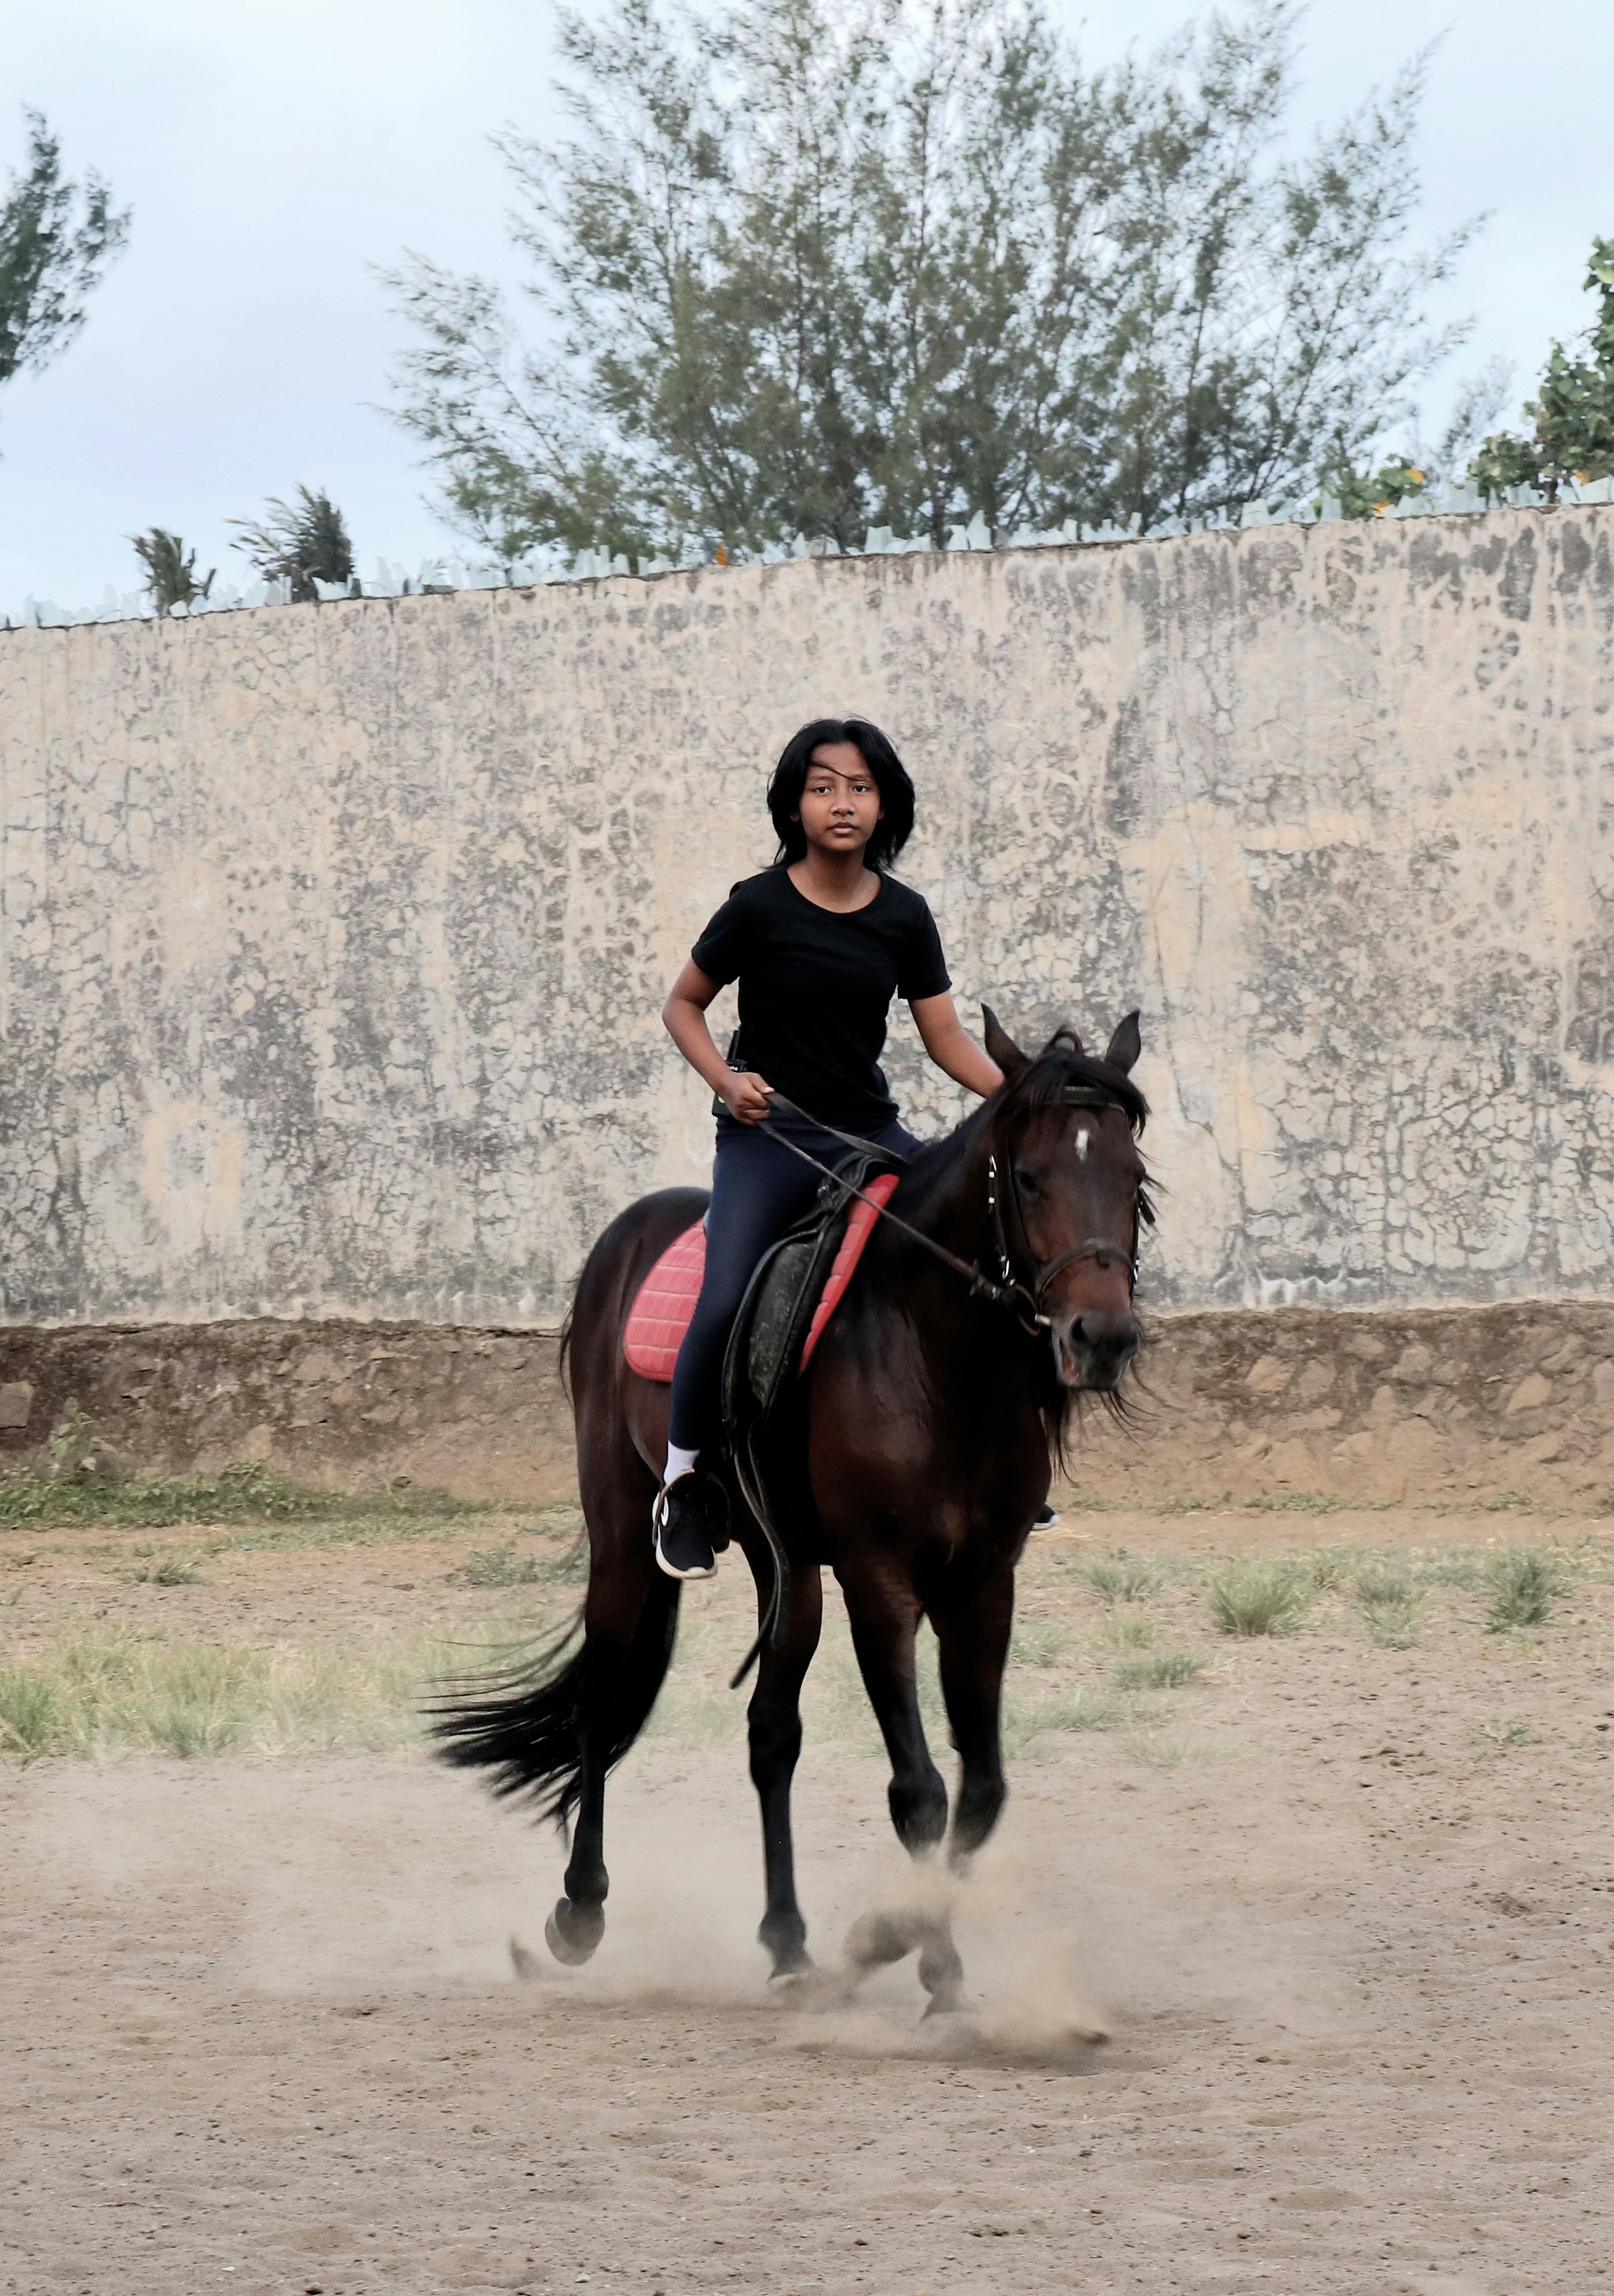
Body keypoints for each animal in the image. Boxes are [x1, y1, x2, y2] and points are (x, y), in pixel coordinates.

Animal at [433, 1008, 1153, 2015]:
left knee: (771, 1734)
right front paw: (924, 1964)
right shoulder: (880, 1580)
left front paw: (904, 1948)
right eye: (1031, 1177)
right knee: (603, 1702)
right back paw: (579, 1913)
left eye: (1134, 1181)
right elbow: (920, 1790)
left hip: (787, 1564)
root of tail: (624, 1233)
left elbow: (982, 1791)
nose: (1103, 1337)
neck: (935, 1351)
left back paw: (787, 1944)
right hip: (622, 1535)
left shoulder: (983, 1583)